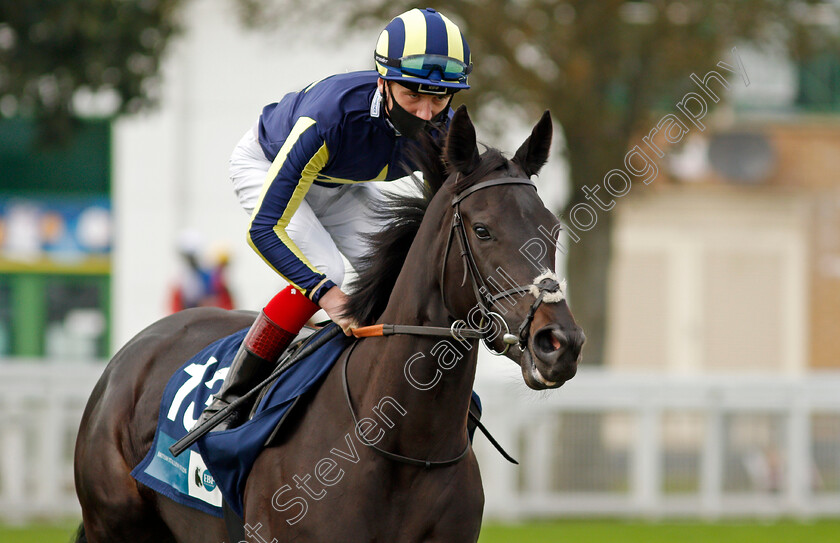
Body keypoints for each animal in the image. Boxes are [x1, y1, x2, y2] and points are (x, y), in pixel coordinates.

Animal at [74, 104, 584, 540]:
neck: (403, 446)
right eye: (482, 230)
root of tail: (136, 348)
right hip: (114, 525)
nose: (560, 343)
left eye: (554, 229)